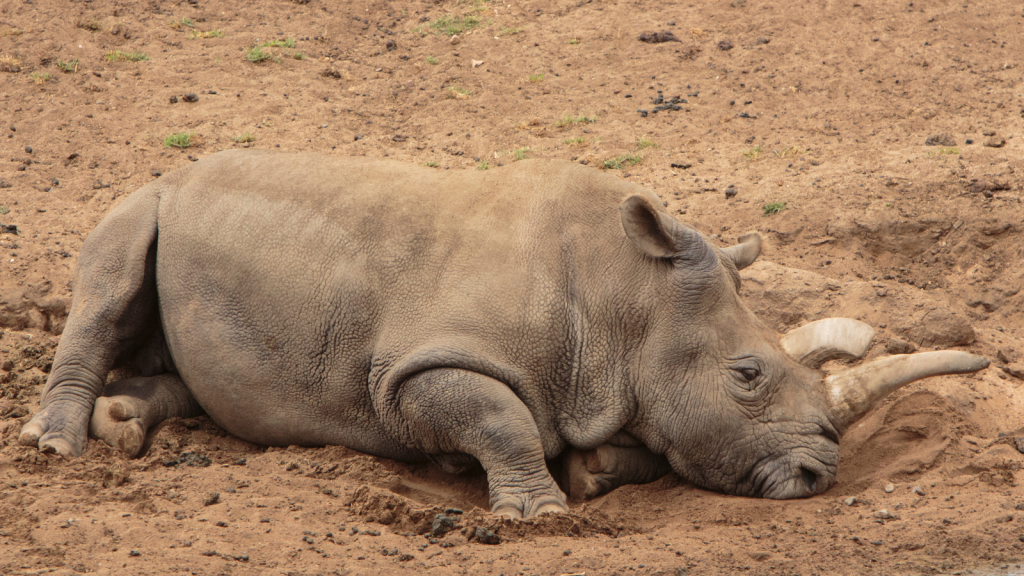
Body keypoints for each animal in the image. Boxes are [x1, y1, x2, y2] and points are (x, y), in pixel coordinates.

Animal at [18, 151, 991, 516]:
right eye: (747, 375)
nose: (820, 474)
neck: (625, 298)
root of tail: (180, 170)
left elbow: (627, 438)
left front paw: (593, 471)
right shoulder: (409, 371)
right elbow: (497, 417)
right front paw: (537, 511)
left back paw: (123, 424)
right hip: (148, 197)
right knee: (110, 274)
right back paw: (60, 448)